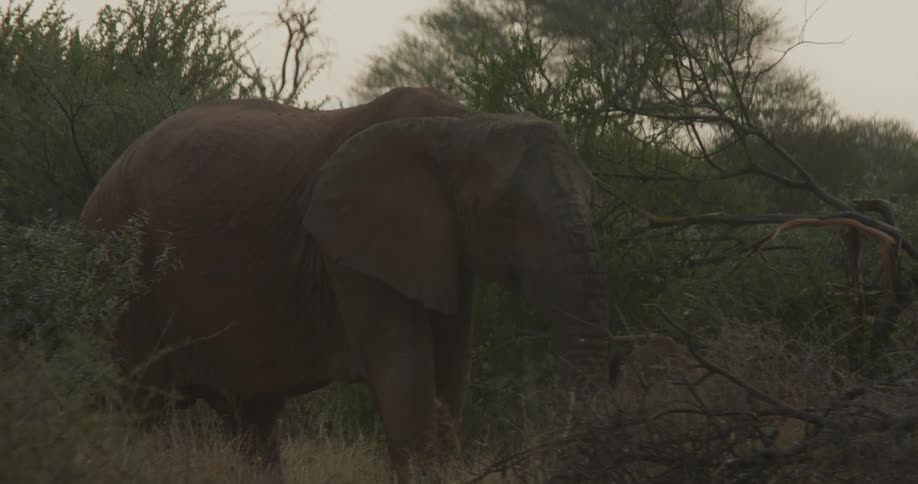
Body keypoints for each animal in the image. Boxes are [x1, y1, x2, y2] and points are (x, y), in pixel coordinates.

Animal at [80, 87, 614, 480]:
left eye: (593, 197)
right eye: (503, 211)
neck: (462, 124)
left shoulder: (446, 251)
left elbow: (450, 379)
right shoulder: (353, 254)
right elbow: (406, 379)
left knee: (250, 419)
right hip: (120, 274)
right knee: (128, 410)